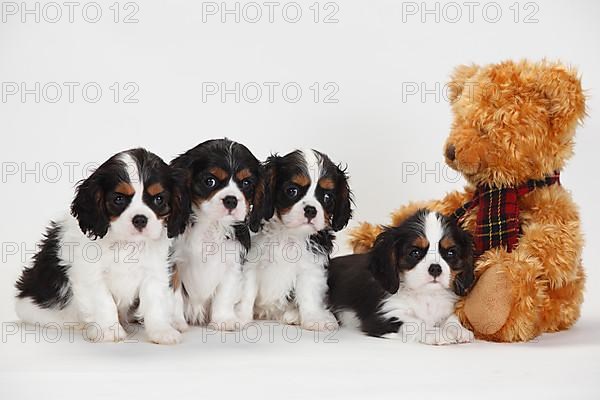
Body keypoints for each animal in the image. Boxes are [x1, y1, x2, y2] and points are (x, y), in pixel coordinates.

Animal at [168, 139, 264, 330]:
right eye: (210, 181)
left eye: (246, 183)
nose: (231, 200)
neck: (211, 224)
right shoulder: (173, 262)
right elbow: (174, 295)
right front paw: (175, 322)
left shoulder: (233, 262)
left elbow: (224, 294)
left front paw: (223, 320)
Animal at [238, 148, 352, 330]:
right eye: (292, 191)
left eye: (327, 197)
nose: (311, 210)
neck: (288, 233)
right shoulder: (250, 263)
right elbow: (246, 292)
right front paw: (238, 316)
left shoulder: (311, 265)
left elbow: (309, 294)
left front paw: (314, 318)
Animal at [326, 209, 476, 344]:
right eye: (415, 253)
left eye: (451, 253)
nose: (435, 268)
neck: (426, 294)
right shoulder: (382, 316)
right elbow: (415, 322)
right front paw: (436, 333)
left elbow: (451, 318)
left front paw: (459, 330)